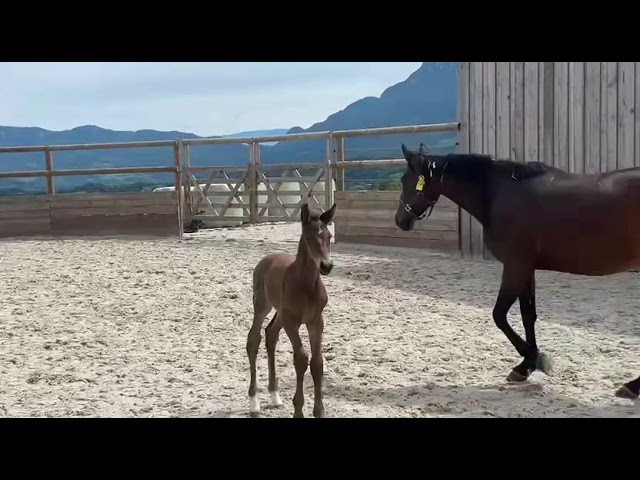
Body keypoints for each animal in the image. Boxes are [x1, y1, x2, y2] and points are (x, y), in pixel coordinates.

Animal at [246, 200, 337, 417]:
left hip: (281, 312)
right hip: (263, 305)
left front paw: (319, 411)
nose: (326, 265)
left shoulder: (316, 321)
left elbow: (317, 362)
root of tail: (267, 258)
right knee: (254, 339)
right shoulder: (292, 322)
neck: (306, 285)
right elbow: (301, 358)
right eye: (308, 237)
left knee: (271, 334)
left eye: (329, 237)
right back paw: (254, 402)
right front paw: (298, 410)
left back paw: (274, 396)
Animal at [394, 143, 640, 400]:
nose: (400, 220)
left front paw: (533, 359)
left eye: (405, 179)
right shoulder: (527, 269)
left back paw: (632, 386)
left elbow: (499, 315)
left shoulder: (515, 266)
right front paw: (528, 364)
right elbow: (527, 315)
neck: (500, 192)